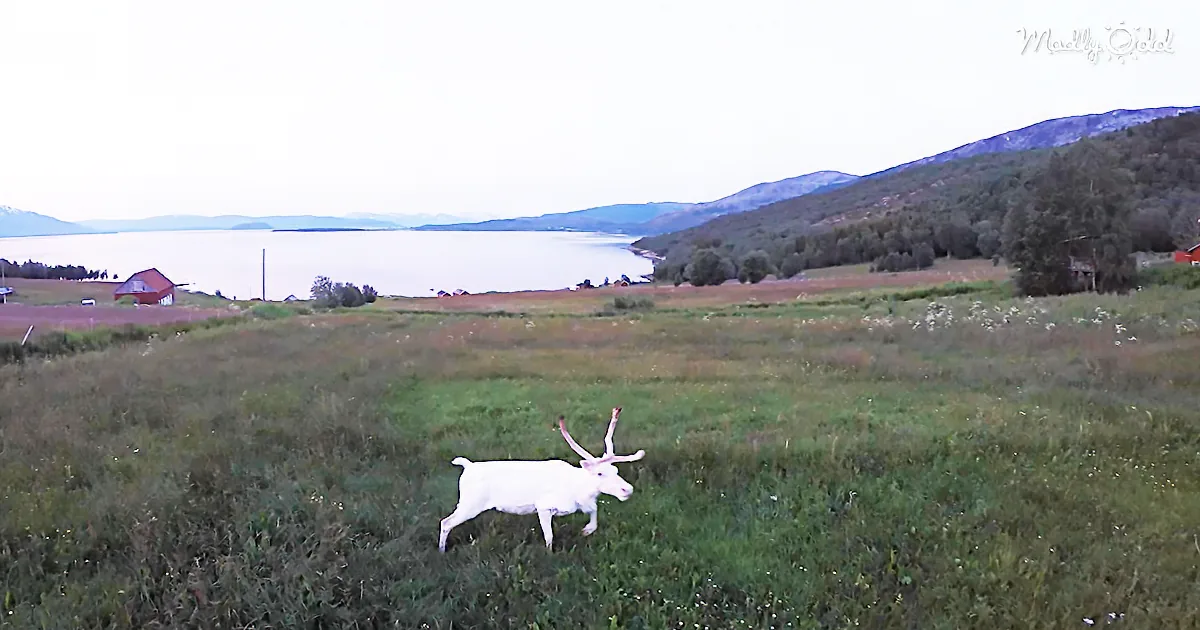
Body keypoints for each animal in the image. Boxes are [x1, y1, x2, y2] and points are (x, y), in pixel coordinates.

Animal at [438, 407, 646, 552]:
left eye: (616, 470)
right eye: (600, 473)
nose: (627, 490)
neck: (577, 489)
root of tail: (467, 466)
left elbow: (594, 511)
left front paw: (586, 530)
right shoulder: (544, 507)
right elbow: (549, 537)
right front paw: (549, 554)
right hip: (470, 504)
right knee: (445, 522)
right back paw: (441, 551)